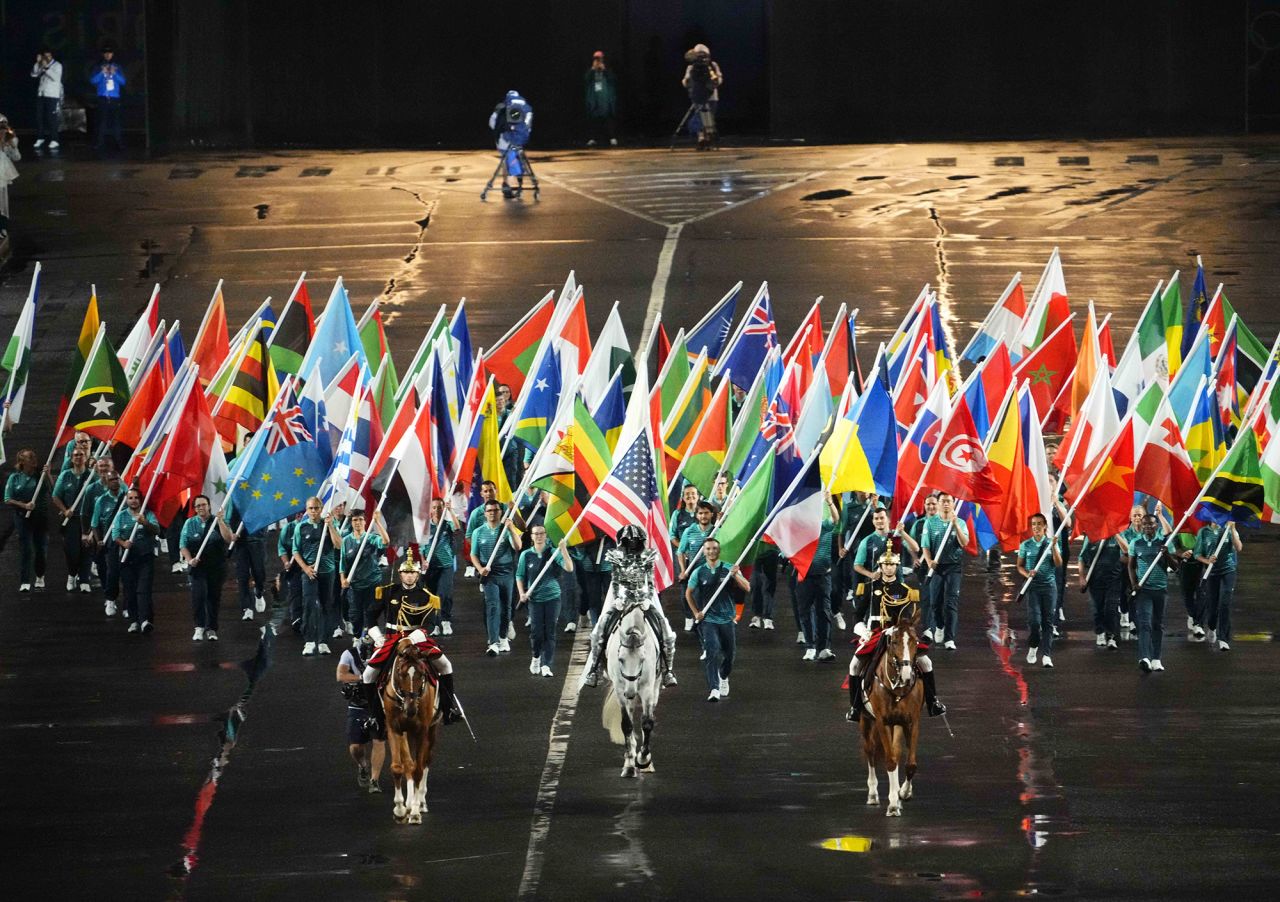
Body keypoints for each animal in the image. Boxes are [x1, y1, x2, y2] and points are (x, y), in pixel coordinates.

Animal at [378, 647, 440, 823]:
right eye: (400, 673)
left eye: (422, 674)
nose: (411, 709)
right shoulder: (394, 729)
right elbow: (399, 767)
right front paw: (400, 809)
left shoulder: (422, 731)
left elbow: (418, 769)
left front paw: (415, 812)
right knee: (409, 763)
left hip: (431, 730)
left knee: (425, 762)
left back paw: (421, 802)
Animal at [599, 601, 660, 777]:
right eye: (621, 659)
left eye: (642, 659)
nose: (631, 692)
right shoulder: (621, 690)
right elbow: (626, 724)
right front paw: (630, 766)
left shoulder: (647, 689)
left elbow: (647, 723)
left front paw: (643, 759)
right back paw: (630, 756)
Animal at [860, 611, 921, 818]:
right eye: (894, 641)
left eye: (916, 641)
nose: (907, 675)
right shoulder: (882, 722)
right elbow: (890, 761)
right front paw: (893, 804)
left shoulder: (911, 722)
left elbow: (910, 763)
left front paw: (904, 793)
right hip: (866, 720)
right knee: (870, 750)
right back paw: (872, 794)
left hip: (898, 724)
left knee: (896, 751)